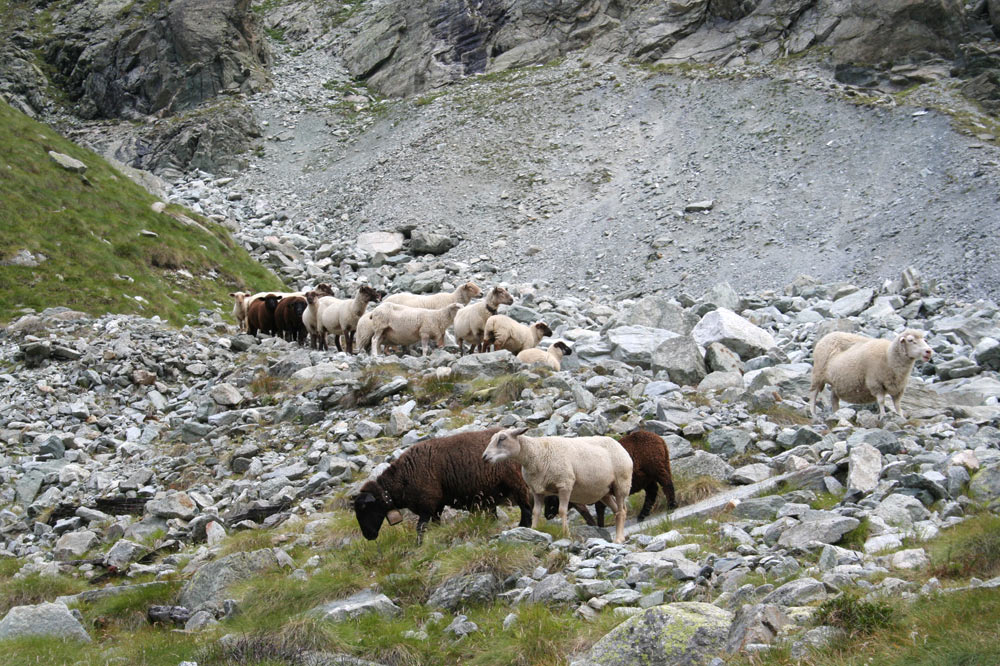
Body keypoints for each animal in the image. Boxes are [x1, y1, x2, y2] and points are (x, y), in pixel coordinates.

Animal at [354, 426, 536, 540]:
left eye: (364, 507)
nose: (368, 536)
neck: (402, 478)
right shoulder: (436, 506)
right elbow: (435, 525)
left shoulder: (427, 504)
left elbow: (420, 528)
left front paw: (419, 545)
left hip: (517, 483)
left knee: (526, 508)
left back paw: (523, 527)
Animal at [478, 428, 632, 544]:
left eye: (502, 439)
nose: (484, 457)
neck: (537, 454)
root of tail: (620, 447)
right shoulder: (537, 490)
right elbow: (536, 512)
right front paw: (534, 530)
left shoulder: (565, 485)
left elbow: (562, 511)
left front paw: (566, 534)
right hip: (605, 492)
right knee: (619, 511)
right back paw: (622, 536)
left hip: (621, 484)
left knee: (621, 511)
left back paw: (618, 539)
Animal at [544, 428, 676, 528]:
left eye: (552, 499)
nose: (546, 516)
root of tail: (659, 439)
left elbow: (598, 509)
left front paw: (600, 526)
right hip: (648, 475)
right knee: (652, 491)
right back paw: (642, 515)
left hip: (655, 466)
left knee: (666, 483)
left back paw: (671, 506)